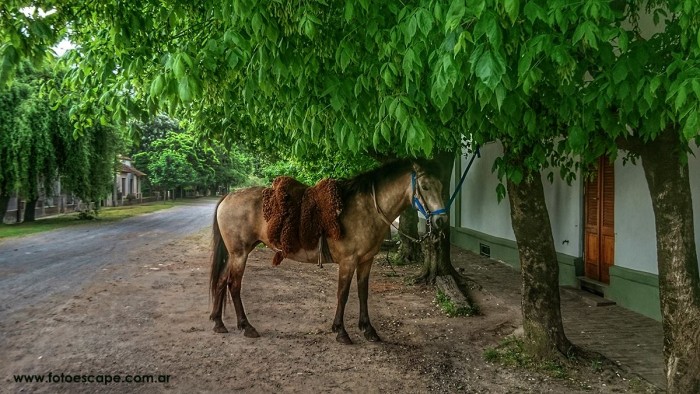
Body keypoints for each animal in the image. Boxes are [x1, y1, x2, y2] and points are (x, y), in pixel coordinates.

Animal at [209, 159, 448, 344]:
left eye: (441, 185)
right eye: (425, 186)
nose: (441, 221)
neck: (367, 209)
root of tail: (227, 197)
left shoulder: (366, 261)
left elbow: (363, 293)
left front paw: (368, 329)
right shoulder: (348, 261)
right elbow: (343, 294)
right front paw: (341, 332)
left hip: (235, 254)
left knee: (221, 281)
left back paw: (218, 322)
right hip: (240, 254)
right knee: (233, 285)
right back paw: (246, 326)